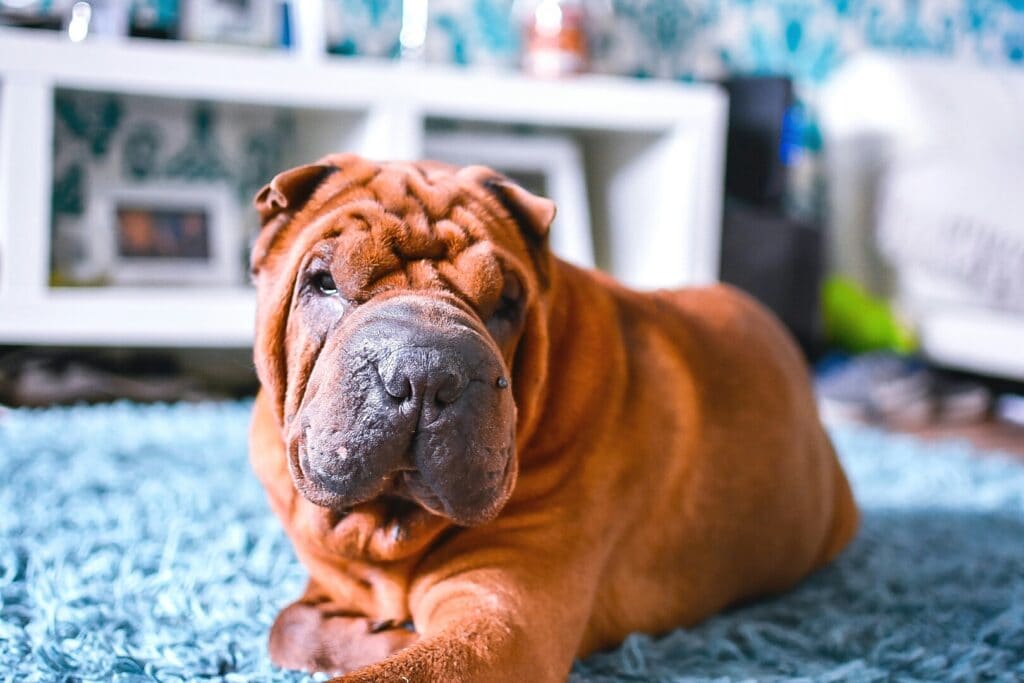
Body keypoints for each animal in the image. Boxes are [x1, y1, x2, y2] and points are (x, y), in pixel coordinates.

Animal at [251, 154, 860, 683]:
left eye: (505, 303)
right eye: (325, 282)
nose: (424, 370)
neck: (385, 526)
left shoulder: (500, 623)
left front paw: (389, 638)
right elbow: (286, 625)